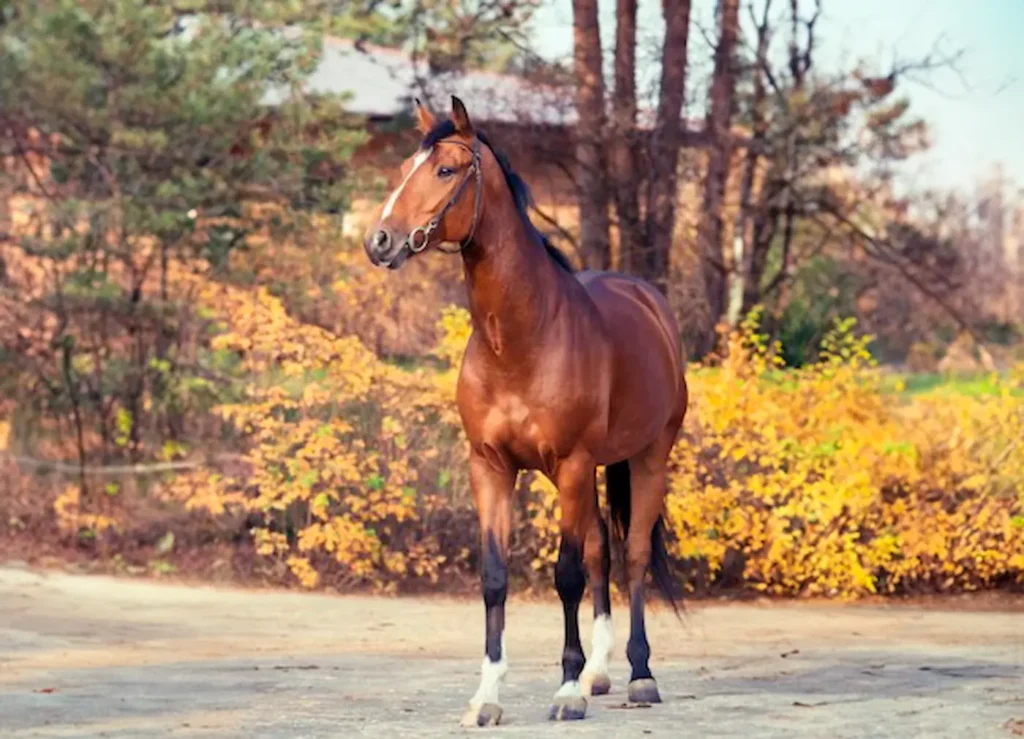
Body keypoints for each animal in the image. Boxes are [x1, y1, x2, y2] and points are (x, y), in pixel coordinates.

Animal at [360, 93, 688, 724]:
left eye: (446, 170)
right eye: (404, 169)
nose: (380, 241)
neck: (520, 339)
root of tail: (650, 300)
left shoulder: (572, 463)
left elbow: (565, 575)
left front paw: (564, 692)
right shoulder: (490, 467)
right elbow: (496, 577)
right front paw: (487, 697)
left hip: (646, 458)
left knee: (631, 555)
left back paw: (639, 676)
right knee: (601, 552)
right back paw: (599, 673)